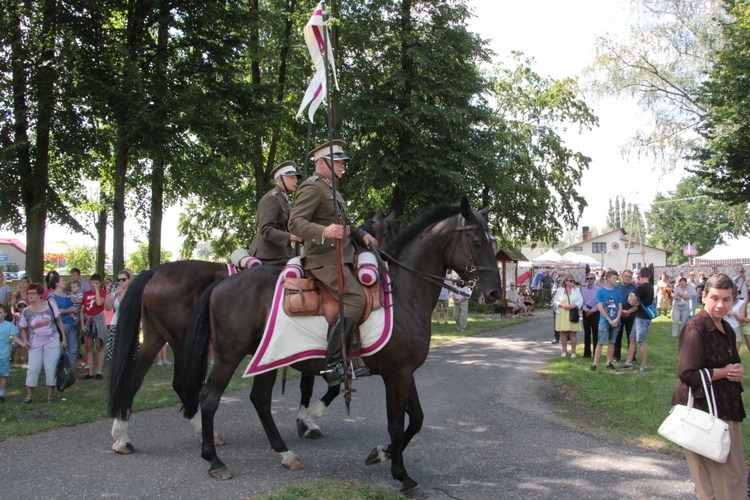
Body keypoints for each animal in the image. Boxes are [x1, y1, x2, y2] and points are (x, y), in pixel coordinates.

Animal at [179, 198, 502, 496]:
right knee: (209, 398)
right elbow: (396, 424)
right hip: (228, 355)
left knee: (259, 400)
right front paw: (402, 475)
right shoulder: (396, 374)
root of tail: (221, 284)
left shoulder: (405, 371)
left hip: (268, 359)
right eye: (477, 241)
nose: (494, 293)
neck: (403, 293)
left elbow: (417, 420)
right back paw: (214, 460)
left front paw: (381, 454)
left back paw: (285, 453)